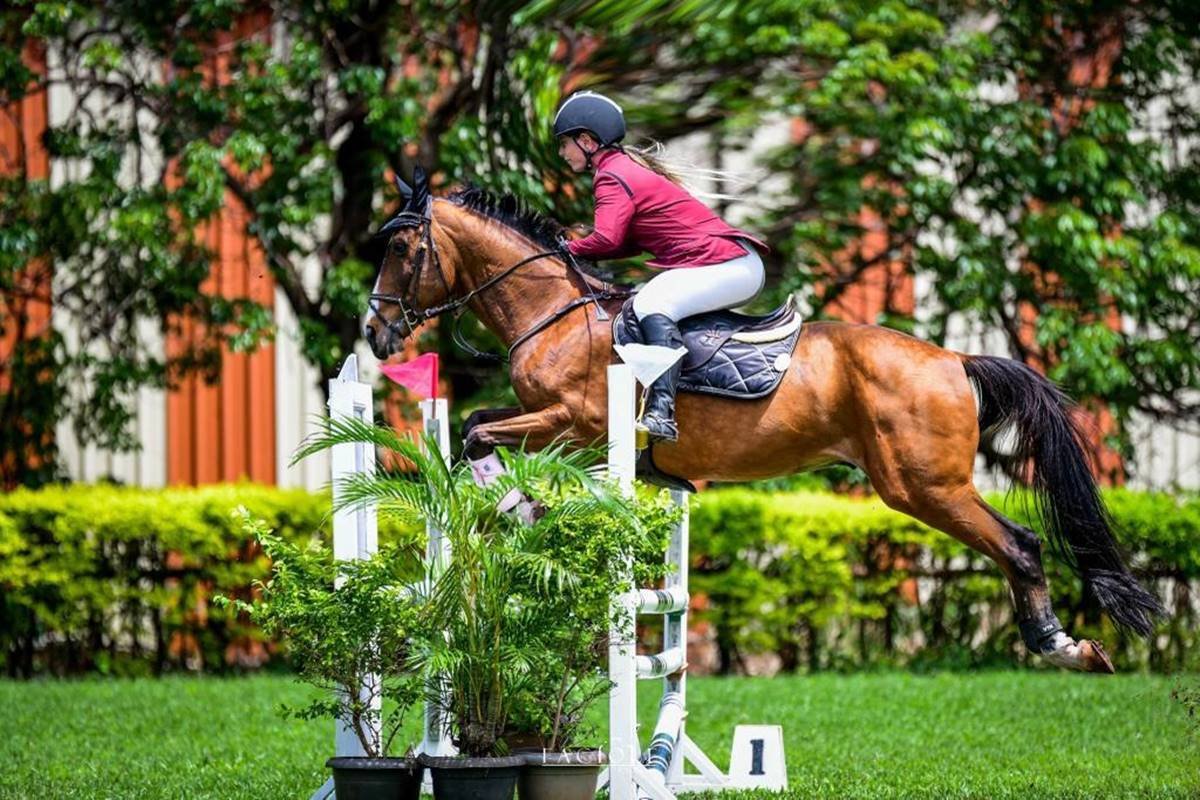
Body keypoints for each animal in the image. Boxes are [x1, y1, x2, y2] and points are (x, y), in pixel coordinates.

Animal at [362, 176, 1161, 676]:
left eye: (401, 250)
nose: (375, 332)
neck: (554, 311)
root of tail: (954, 359)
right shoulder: (547, 420)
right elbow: (476, 422)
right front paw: (520, 507)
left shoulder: (577, 422)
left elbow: (477, 434)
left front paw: (520, 508)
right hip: (921, 486)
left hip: (922, 486)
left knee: (1019, 544)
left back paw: (1062, 646)